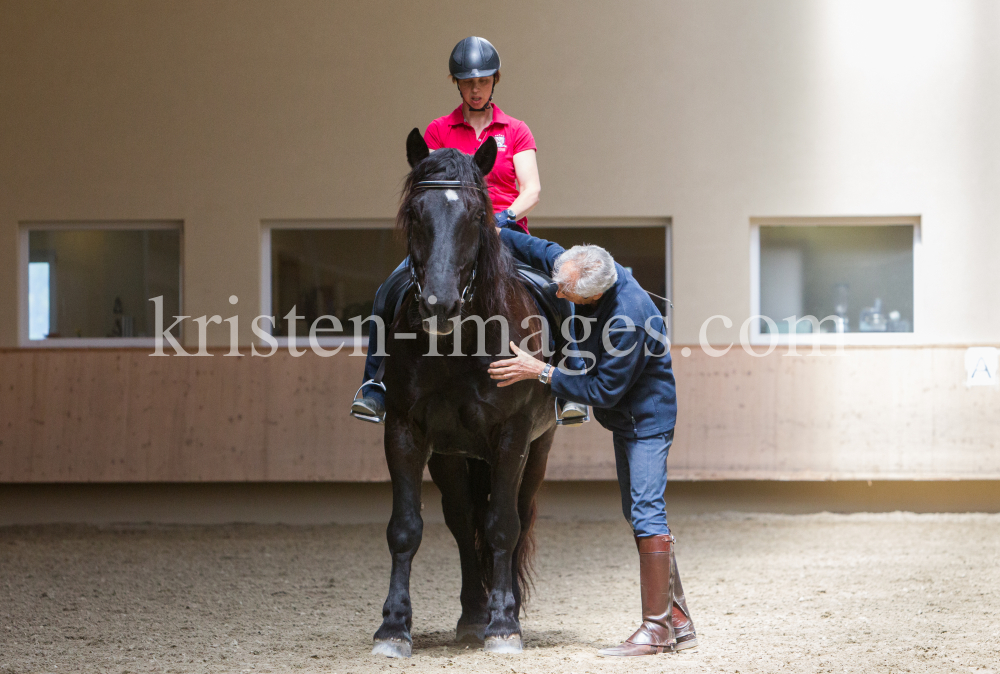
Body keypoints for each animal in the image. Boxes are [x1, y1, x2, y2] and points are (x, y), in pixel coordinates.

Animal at [372, 130, 560, 656]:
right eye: (416, 213)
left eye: (477, 215)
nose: (440, 305)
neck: (460, 343)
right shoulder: (406, 430)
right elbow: (406, 529)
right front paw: (393, 628)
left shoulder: (513, 435)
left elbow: (502, 525)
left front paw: (505, 625)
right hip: (451, 455)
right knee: (460, 521)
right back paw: (475, 614)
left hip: (537, 448)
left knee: (515, 517)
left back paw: (501, 609)